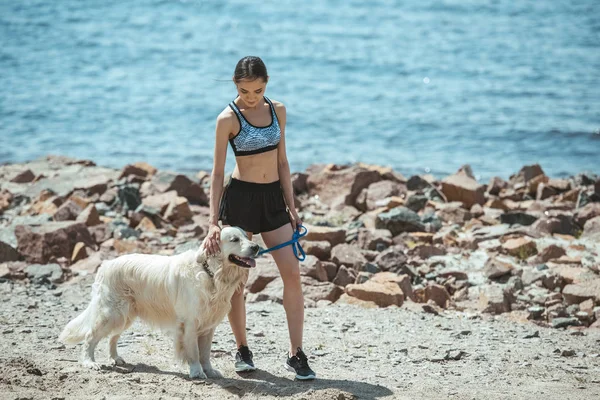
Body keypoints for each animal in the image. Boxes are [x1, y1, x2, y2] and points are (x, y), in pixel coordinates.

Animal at [59, 227, 258, 380]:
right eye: (234, 239)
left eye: (247, 236)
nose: (256, 247)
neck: (211, 273)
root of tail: (105, 264)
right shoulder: (190, 323)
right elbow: (194, 351)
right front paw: (197, 372)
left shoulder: (209, 325)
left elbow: (205, 352)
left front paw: (209, 370)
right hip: (112, 313)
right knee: (90, 336)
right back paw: (89, 362)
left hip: (125, 315)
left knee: (112, 337)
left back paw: (115, 358)